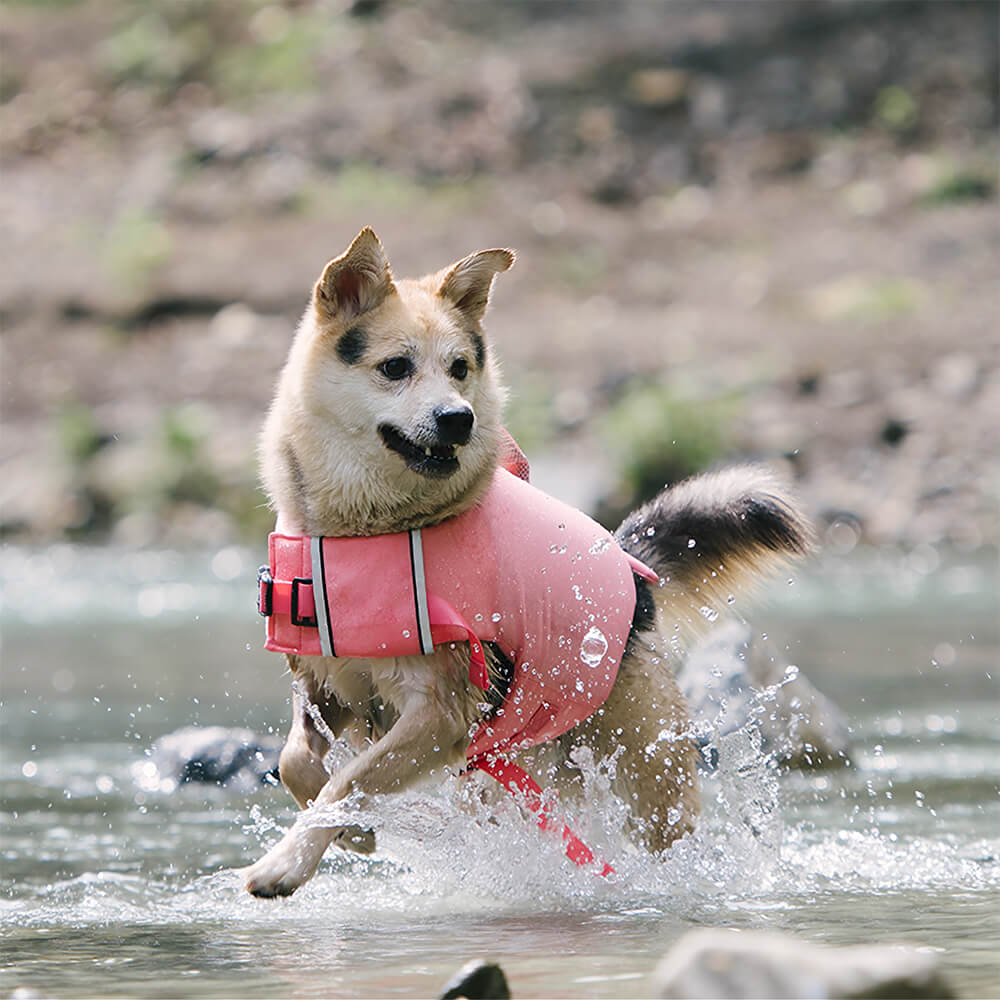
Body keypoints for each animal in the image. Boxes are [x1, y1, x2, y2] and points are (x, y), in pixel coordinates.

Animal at [242, 229, 812, 900]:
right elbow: (300, 766)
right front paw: (354, 832)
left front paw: (286, 861)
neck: (370, 529)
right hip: (509, 772)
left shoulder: (439, 712)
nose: (458, 418)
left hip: (645, 771)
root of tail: (632, 577)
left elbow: (348, 777)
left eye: (460, 368)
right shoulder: (324, 686)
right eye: (395, 367)